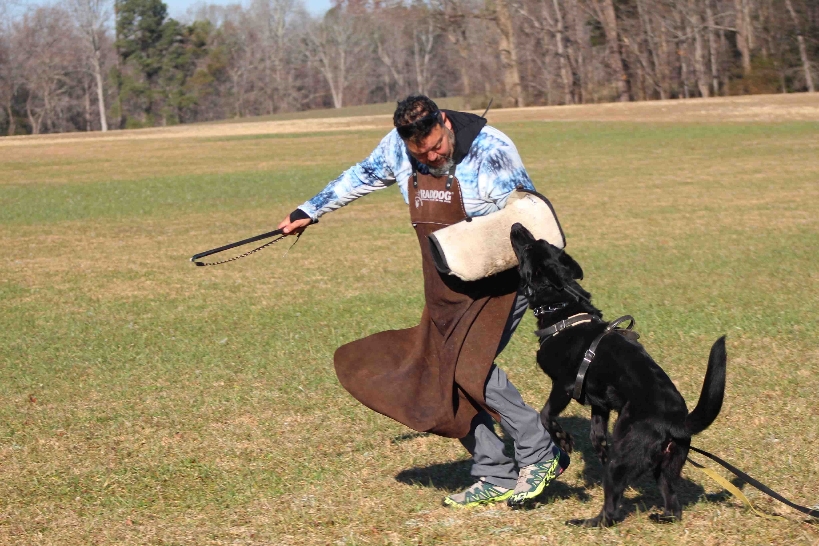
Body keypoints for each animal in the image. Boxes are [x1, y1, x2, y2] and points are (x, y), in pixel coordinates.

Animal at [510, 223, 728, 524]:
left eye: (531, 246)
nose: (516, 226)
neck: (563, 308)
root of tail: (676, 423)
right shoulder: (599, 403)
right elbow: (596, 433)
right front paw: (599, 449)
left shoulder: (562, 386)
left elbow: (545, 415)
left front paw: (564, 440)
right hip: (665, 469)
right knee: (674, 507)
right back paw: (661, 517)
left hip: (623, 460)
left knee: (611, 513)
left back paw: (584, 522)